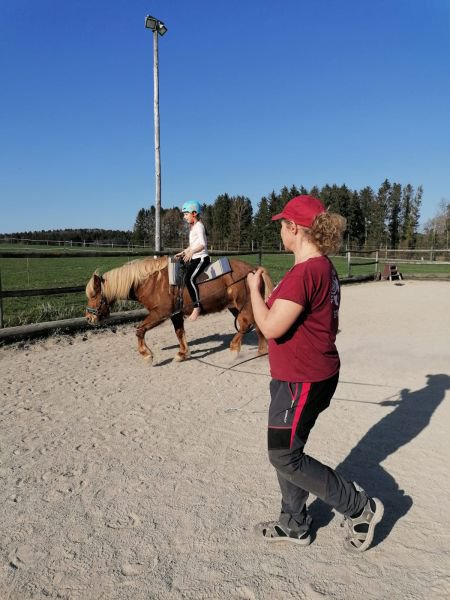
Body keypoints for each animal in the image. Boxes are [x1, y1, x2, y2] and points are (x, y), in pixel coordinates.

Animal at [85, 256, 273, 363]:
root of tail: (254, 269)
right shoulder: (175, 314)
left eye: (93, 294)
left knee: (246, 323)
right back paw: (261, 351)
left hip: (243, 304)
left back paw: (235, 349)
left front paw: (147, 355)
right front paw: (182, 354)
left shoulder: (160, 314)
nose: (88, 318)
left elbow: (140, 330)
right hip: (237, 306)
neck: (151, 282)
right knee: (255, 323)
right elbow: (179, 332)